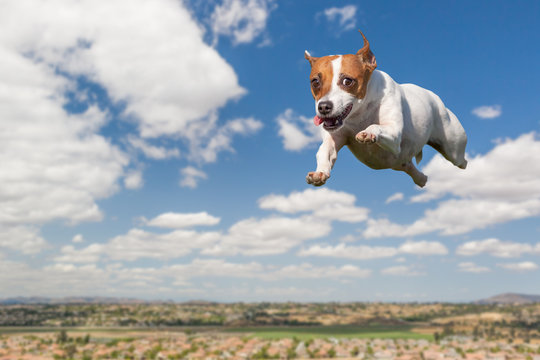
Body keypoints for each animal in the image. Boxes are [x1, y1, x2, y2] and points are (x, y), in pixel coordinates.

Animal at [306, 31, 466, 188]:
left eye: (347, 81)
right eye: (315, 82)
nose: (323, 107)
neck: (359, 113)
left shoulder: (394, 134)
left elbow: (376, 126)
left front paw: (368, 132)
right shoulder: (335, 137)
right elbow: (325, 150)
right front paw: (320, 173)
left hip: (454, 149)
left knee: (462, 162)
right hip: (399, 161)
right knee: (410, 167)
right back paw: (421, 178)